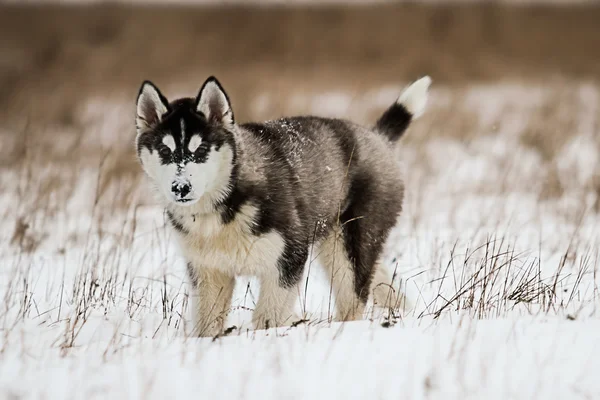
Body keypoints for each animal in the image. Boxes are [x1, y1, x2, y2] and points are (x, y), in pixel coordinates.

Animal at [135, 76, 428, 338]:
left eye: (201, 150)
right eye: (164, 150)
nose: (180, 187)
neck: (226, 202)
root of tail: (377, 137)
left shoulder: (288, 258)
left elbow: (269, 317)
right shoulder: (209, 272)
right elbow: (207, 324)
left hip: (350, 245)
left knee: (353, 296)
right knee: (380, 281)